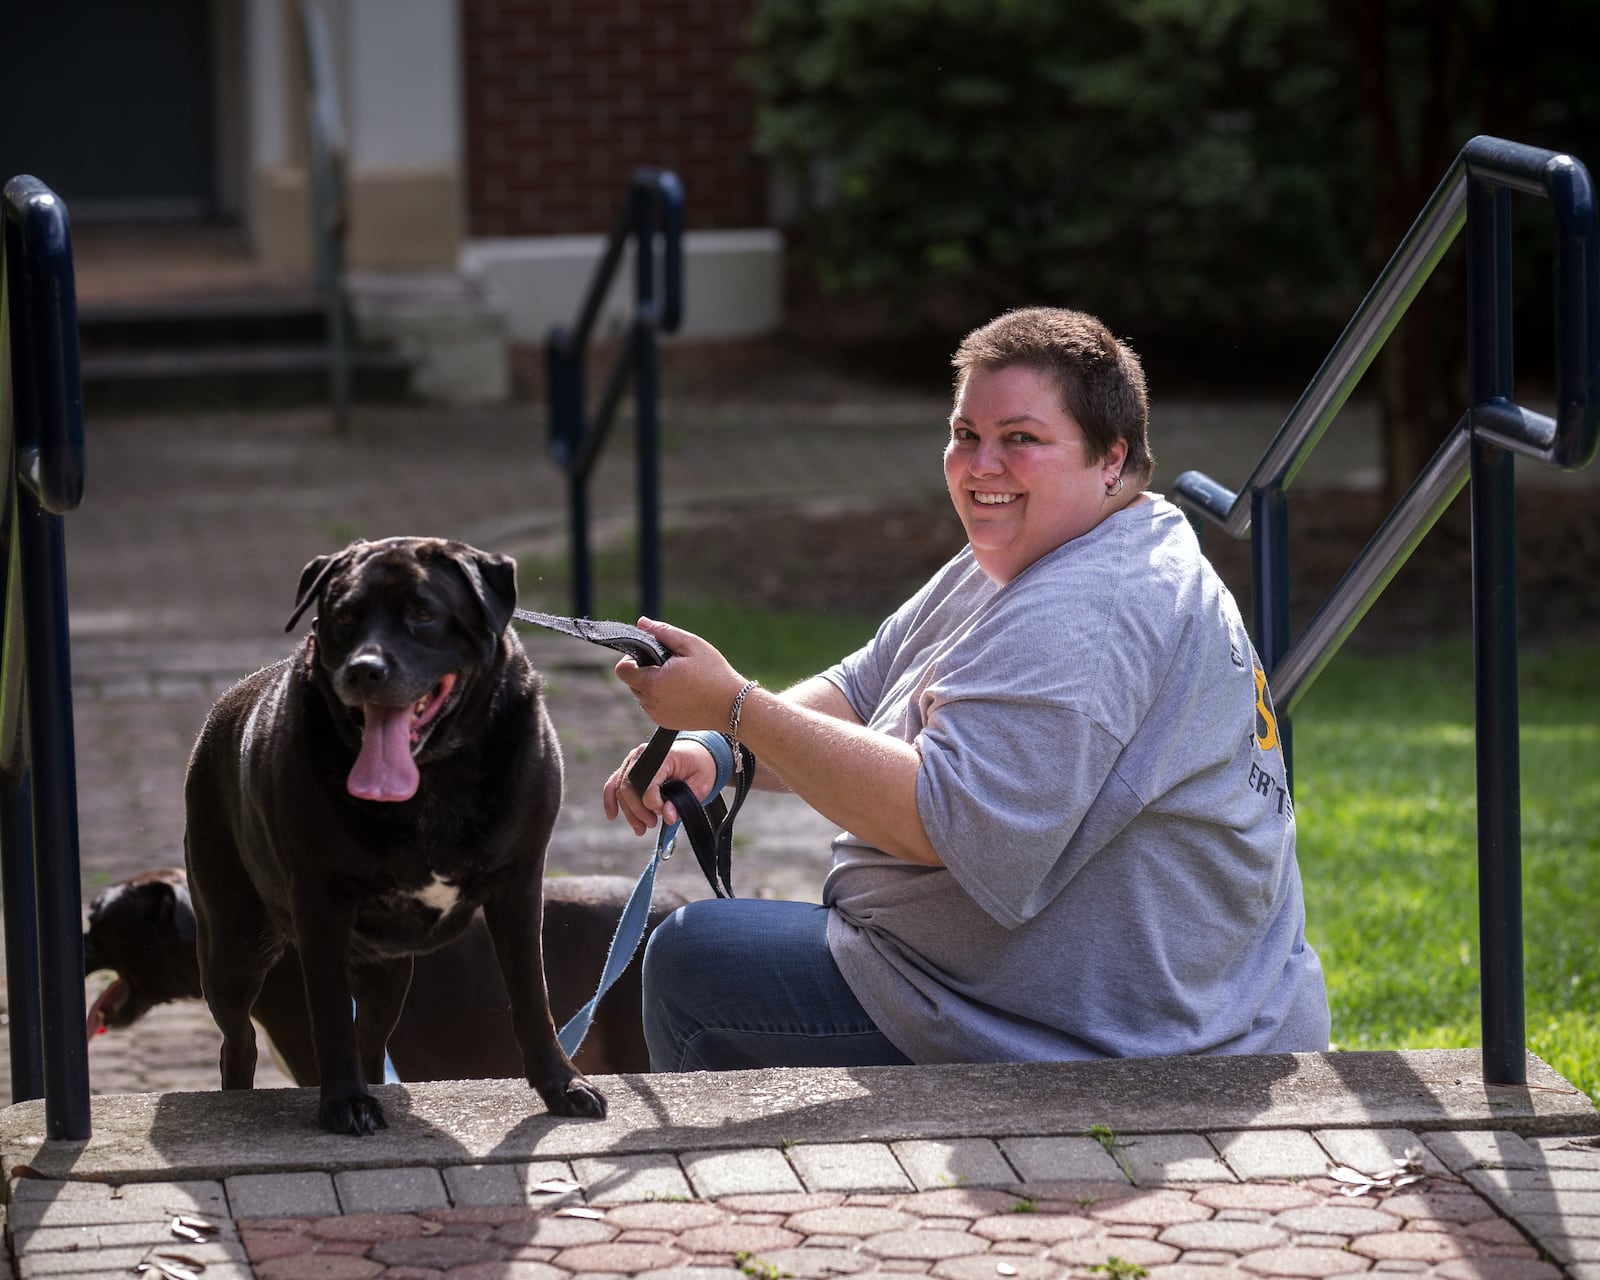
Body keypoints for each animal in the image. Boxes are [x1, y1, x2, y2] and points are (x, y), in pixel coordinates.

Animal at [183, 534, 604, 1132]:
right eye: (342, 617)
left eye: (423, 614)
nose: (365, 670)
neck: (435, 778)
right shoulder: (320, 900)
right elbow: (330, 1014)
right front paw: (344, 1104)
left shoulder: (520, 884)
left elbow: (531, 995)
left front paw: (561, 1084)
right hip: (231, 945)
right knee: (238, 1039)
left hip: (387, 973)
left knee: (372, 1039)